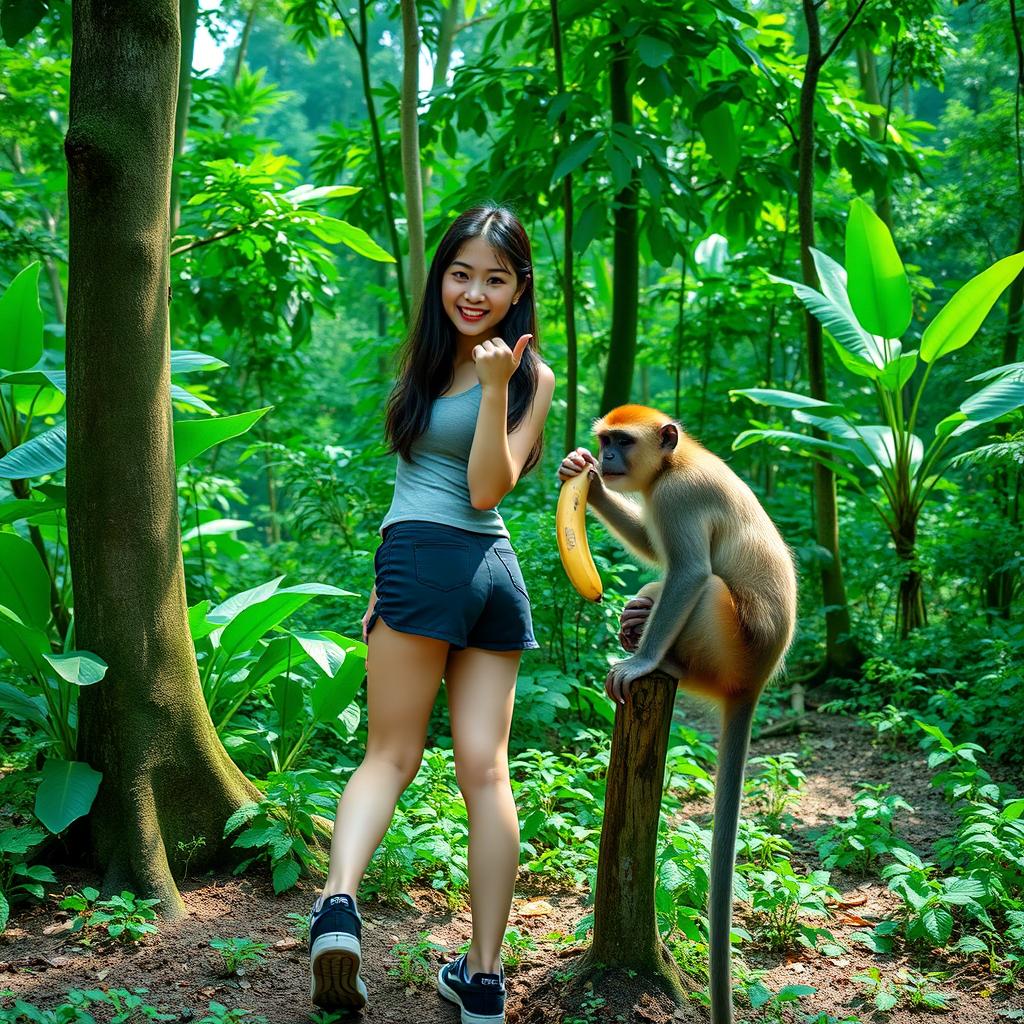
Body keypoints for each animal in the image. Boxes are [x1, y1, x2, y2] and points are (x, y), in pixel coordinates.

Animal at [557, 403, 794, 1024]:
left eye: (621, 441)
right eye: (604, 440)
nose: (606, 457)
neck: (675, 461)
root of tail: (755, 681)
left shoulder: (677, 497)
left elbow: (686, 572)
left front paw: (640, 663)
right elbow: (652, 546)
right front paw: (585, 478)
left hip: (727, 647)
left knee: (702, 584)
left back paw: (658, 659)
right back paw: (637, 618)